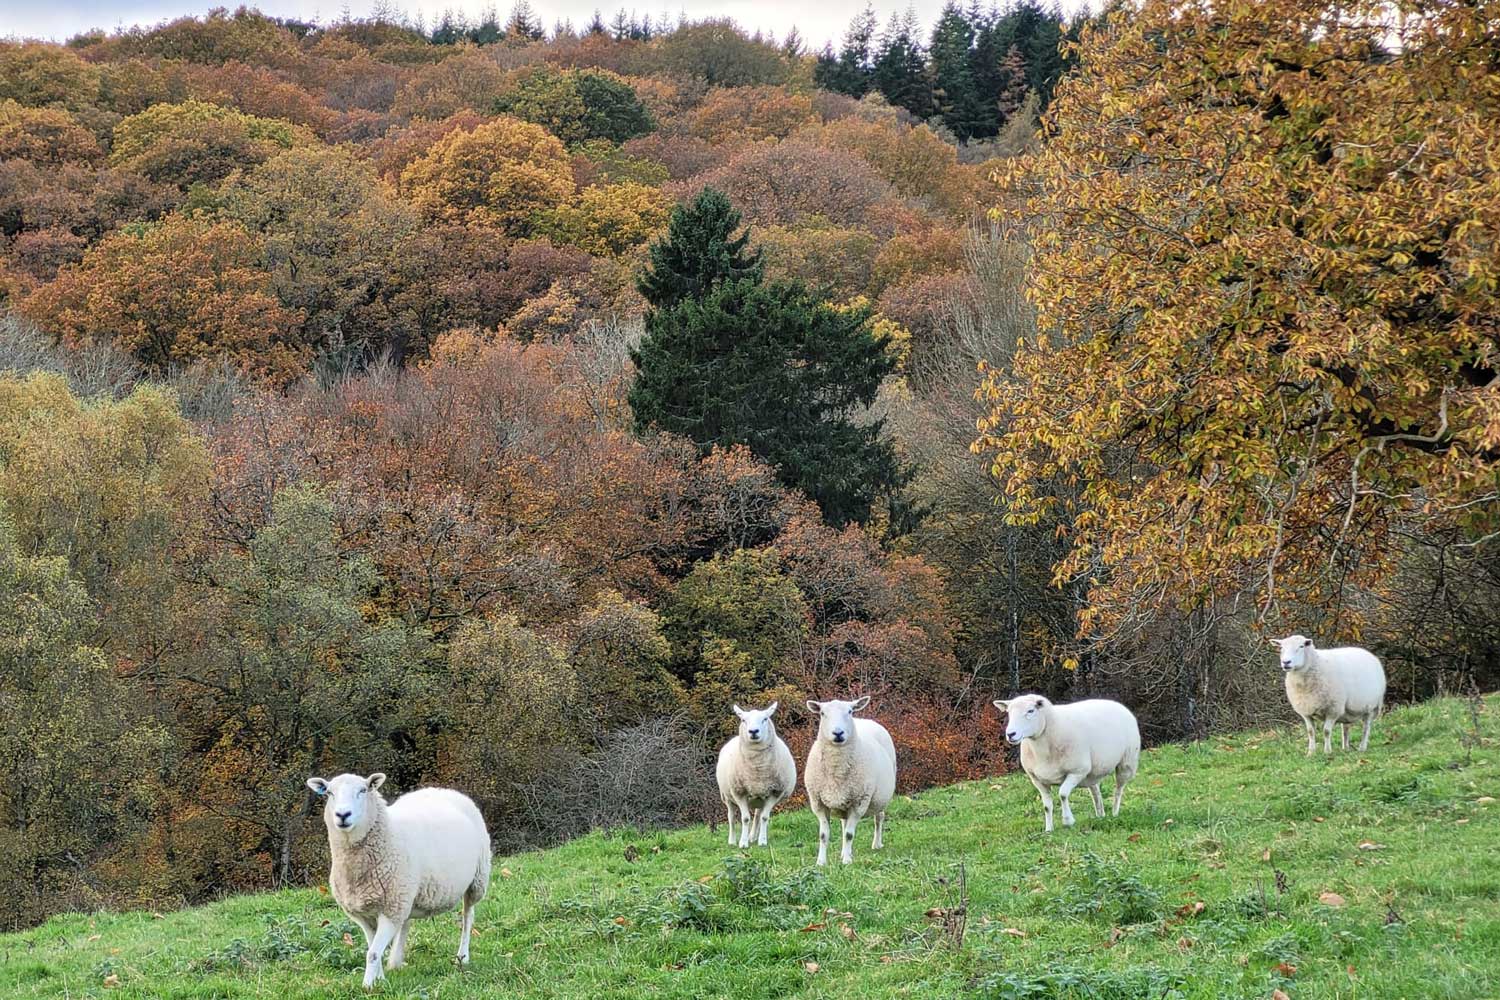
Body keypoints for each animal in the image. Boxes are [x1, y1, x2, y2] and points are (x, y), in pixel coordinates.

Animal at [304, 773, 492, 989]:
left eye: (363, 790)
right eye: (329, 793)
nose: (343, 815)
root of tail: (444, 790)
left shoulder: (390, 910)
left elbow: (372, 953)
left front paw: (368, 985)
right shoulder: (367, 915)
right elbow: (373, 948)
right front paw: (380, 979)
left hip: (477, 880)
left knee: (468, 916)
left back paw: (463, 956)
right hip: (407, 894)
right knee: (406, 923)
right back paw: (396, 961)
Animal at [714, 701, 798, 851]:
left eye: (765, 719)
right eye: (743, 720)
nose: (753, 731)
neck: (758, 770)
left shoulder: (774, 792)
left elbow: (764, 817)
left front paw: (762, 841)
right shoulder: (739, 792)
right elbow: (745, 818)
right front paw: (743, 843)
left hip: (760, 796)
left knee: (758, 815)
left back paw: (753, 836)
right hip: (727, 796)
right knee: (731, 817)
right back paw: (732, 840)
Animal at [804, 695, 894, 869]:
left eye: (850, 711)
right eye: (822, 713)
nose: (838, 733)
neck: (836, 769)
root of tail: (865, 720)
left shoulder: (859, 802)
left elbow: (849, 834)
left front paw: (846, 861)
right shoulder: (818, 803)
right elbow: (824, 835)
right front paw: (821, 862)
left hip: (879, 798)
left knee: (879, 818)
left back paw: (876, 844)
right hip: (843, 802)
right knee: (843, 824)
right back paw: (844, 852)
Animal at [996, 692, 1134, 833]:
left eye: (1031, 711)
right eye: (1008, 712)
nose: (1011, 734)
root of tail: (1114, 703)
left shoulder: (1077, 771)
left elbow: (1062, 794)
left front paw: (1068, 820)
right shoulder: (1037, 780)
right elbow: (1047, 806)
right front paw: (1048, 829)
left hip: (1127, 762)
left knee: (1119, 789)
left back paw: (1115, 813)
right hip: (1092, 772)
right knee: (1095, 791)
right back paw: (1100, 815)